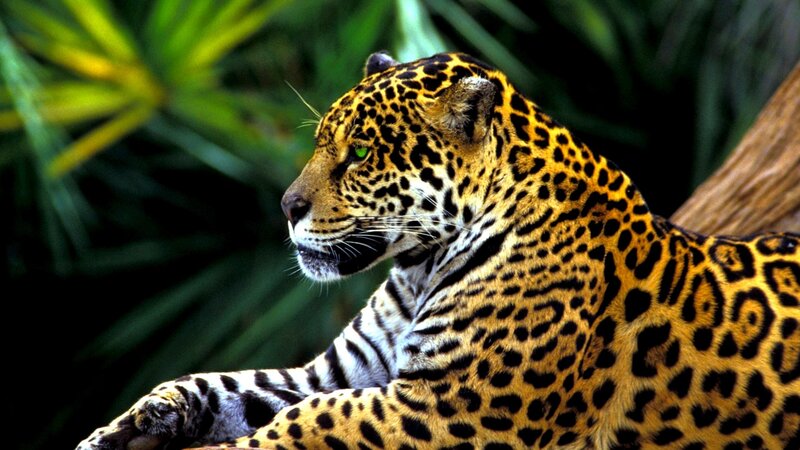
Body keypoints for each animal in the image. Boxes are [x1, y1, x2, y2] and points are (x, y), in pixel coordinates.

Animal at [78, 51, 799, 450]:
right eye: (318, 142)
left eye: (359, 154)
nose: (285, 208)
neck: (420, 266)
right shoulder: (341, 372)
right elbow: (222, 385)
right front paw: (124, 429)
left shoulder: (450, 409)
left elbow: (308, 423)